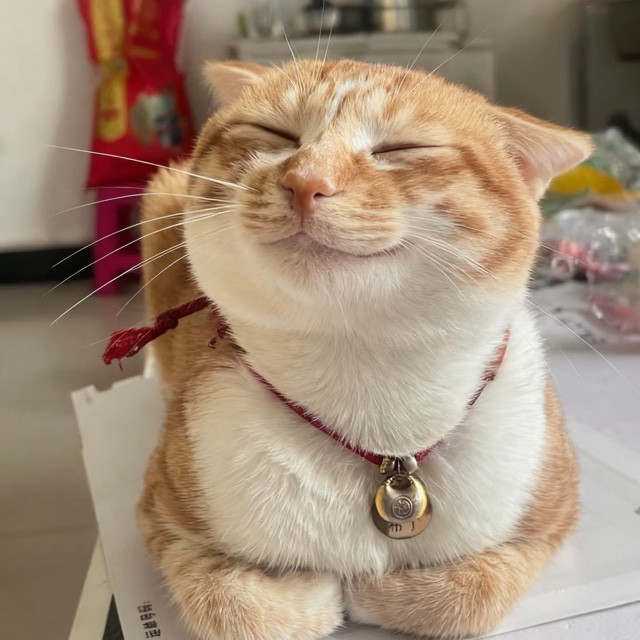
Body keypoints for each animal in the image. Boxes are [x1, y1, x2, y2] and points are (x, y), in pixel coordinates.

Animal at [136, 58, 592, 640]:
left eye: (402, 147)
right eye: (275, 133)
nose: (305, 181)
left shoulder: (552, 516)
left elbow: (474, 592)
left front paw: (385, 592)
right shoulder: (161, 515)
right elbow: (234, 605)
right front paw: (310, 594)